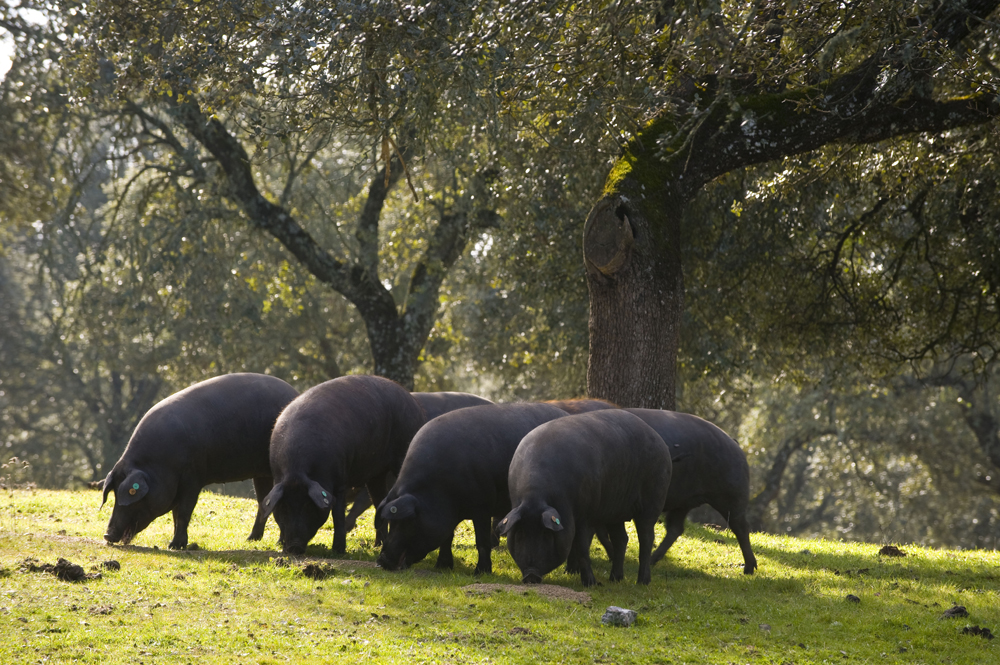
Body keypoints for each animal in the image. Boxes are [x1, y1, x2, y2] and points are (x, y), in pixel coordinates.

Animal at [99, 370, 298, 548]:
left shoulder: (192, 477)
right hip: (261, 473)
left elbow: (184, 511)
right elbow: (175, 513)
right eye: (114, 494)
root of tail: (295, 393)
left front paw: (175, 546)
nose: (107, 535)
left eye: (128, 495)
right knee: (263, 501)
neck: (158, 463)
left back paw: (279, 543)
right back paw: (251, 540)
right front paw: (175, 544)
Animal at [252, 374, 424, 556]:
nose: (294, 548)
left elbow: (338, 513)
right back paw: (378, 546)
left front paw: (338, 550)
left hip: (402, 449)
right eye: (283, 507)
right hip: (376, 474)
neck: (296, 471)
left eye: (308, 505)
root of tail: (413, 402)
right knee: (379, 502)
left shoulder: (340, 479)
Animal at [374, 402, 568, 572]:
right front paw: (442, 567)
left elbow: (481, 541)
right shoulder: (449, 515)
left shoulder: (483, 506)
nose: (382, 561)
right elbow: (447, 537)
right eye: (391, 521)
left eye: (408, 521)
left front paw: (481, 572)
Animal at [498, 410, 672, 588]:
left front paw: (590, 584)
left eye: (546, 534)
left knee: (646, 538)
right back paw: (615, 579)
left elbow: (582, 547)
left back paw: (642, 582)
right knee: (621, 539)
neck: (536, 496)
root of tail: (660, 441)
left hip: (653, 500)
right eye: (520, 533)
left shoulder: (586, 515)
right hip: (614, 511)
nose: (530, 575)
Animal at [624, 408, 756, 572]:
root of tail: (735, 444)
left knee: (741, 527)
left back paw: (748, 569)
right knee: (675, 528)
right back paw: (653, 559)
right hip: (683, 502)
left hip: (730, 498)